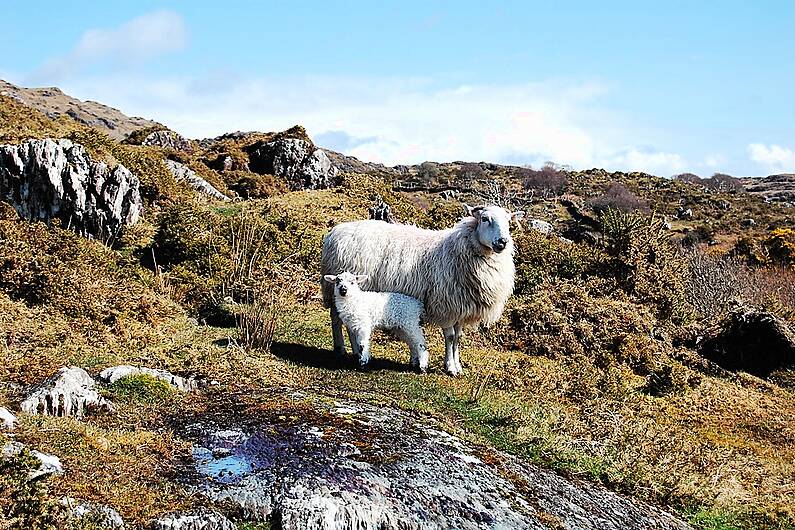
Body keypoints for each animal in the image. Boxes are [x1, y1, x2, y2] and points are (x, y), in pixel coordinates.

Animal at [320, 204, 524, 374]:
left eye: (509, 222)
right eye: (485, 219)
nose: (502, 242)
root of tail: (335, 231)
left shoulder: (460, 308)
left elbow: (457, 338)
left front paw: (457, 366)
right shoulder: (445, 305)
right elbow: (450, 337)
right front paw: (450, 367)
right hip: (337, 290)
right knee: (337, 319)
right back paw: (342, 349)